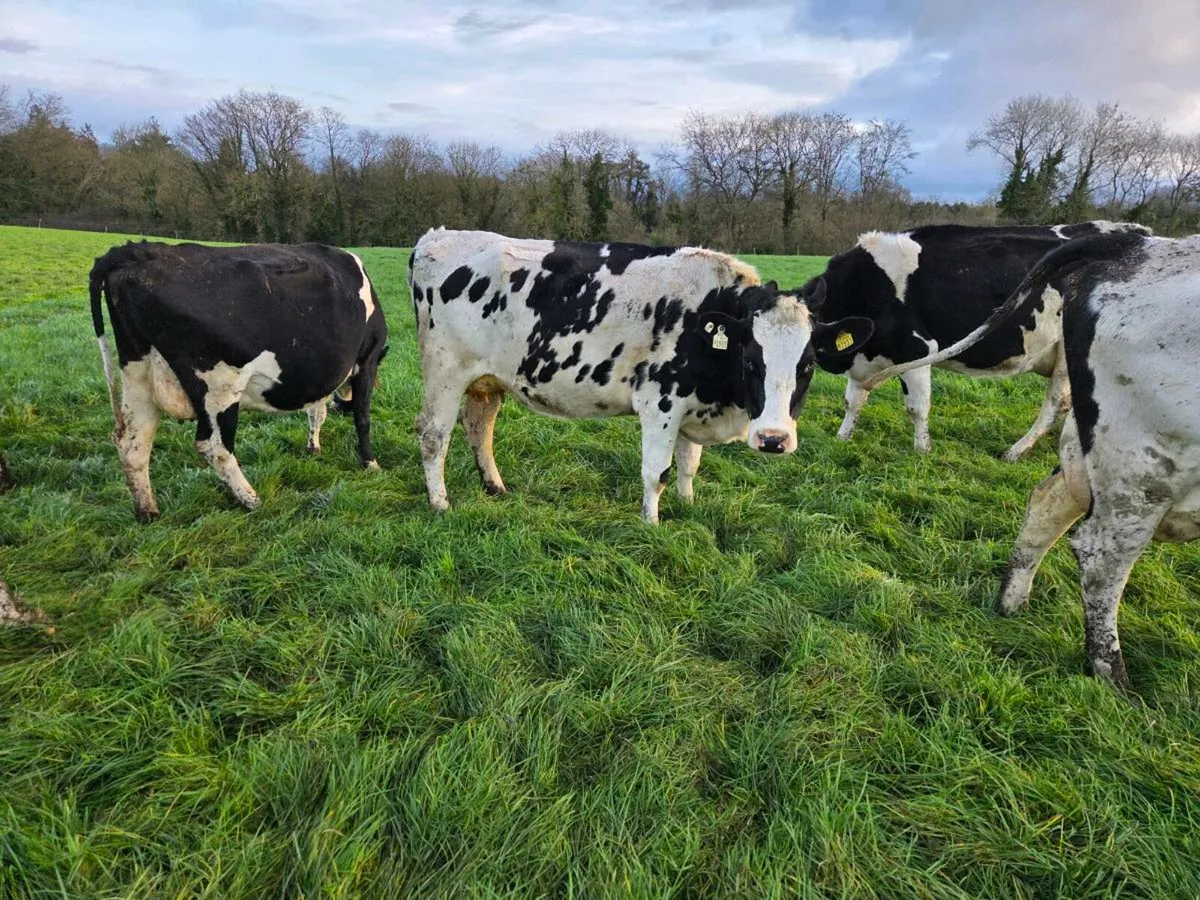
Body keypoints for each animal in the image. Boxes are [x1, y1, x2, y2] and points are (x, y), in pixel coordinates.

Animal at [89, 241, 388, 521]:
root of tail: (137, 251)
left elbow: (316, 413)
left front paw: (314, 446)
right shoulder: (368, 359)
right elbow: (362, 417)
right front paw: (370, 463)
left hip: (138, 375)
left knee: (134, 443)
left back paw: (147, 511)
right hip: (219, 387)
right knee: (214, 446)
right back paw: (251, 499)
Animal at [409, 228, 874, 523]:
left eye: (808, 364)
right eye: (751, 361)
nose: (773, 440)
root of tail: (437, 236)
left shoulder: (693, 406)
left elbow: (688, 466)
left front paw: (688, 506)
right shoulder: (661, 404)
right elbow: (657, 472)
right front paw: (651, 524)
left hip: (487, 379)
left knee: (479, 427)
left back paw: (495, 487)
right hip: (445, 370)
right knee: (434, 435)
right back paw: (440, 503)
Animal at [804, 221, 1151, 459]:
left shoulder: (918, 350)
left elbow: (917, 407)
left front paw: (921, 450)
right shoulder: (865, 356)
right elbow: (853, 401)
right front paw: (843, 436)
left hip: (1071, 355)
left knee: (1058, 402)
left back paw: (1016, 451)